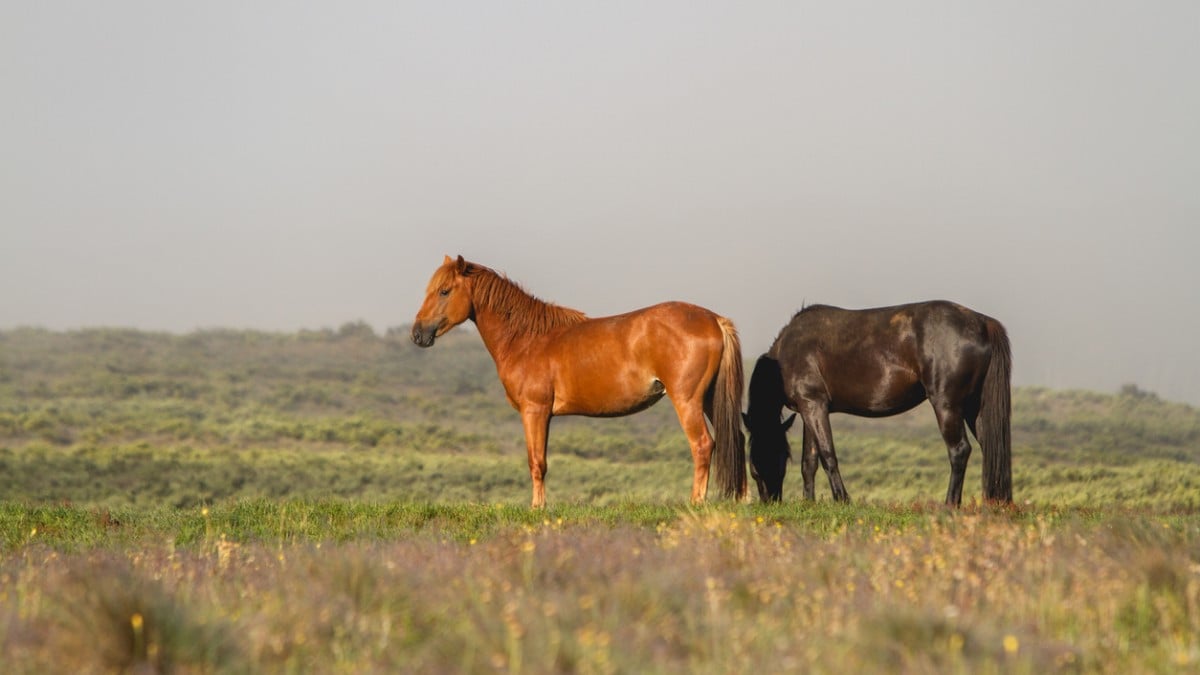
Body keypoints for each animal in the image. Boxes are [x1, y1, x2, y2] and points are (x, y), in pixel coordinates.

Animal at [412, 255, 747, 508]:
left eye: (444, 291)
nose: (418, 334)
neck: (527, 339)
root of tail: (714, 320)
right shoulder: (544, 415)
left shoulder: (534, 410)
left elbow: (537, 462)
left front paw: (537, 508)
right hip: (709, 398)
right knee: (736, 439)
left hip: (687, 400)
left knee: (702, 445)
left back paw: (696, 503)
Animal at [742, 301, 1012, 506]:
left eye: (754, 465)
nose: (770, 502)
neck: (787, 352)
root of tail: (983, 323)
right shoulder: (809, 408)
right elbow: (809, 462)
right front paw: (810, 503)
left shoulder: (814, 406)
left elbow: (828, 455)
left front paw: (842, 500)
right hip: (974, 408)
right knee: (992, 446)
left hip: (947, 406)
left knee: (959, 450)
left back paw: (950, 505)